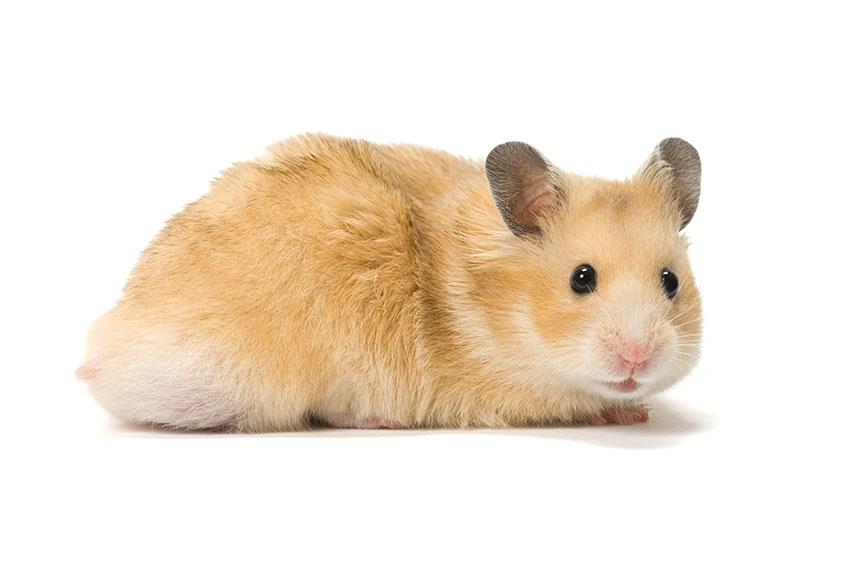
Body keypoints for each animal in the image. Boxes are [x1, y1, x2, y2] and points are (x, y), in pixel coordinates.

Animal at [77, 134, 702, 431]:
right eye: (581, 279)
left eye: (671, 281)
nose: (639, 359)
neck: (501, 310)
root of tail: (110, 352)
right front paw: (623, 412)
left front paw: (636, 412)